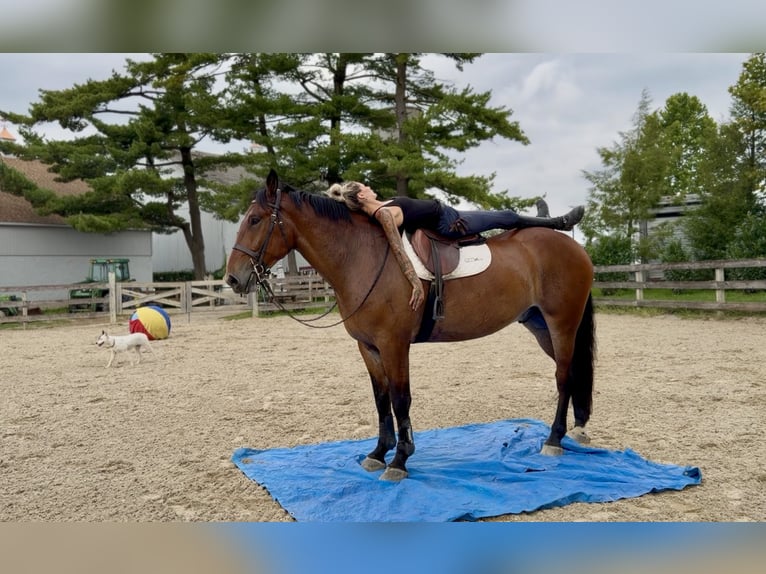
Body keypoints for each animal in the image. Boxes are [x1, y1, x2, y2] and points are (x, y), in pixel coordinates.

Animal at [226, 169, 596, 482]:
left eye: (255, 219)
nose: (233, 278)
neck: (362, 256)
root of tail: (575, 248)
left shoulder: (394, 344)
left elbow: (400, 399)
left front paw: (400, 460)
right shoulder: (369, 347)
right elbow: (381, 399)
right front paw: (378, 453)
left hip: (562, 325)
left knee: (564, 377)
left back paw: (553, 440)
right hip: (540, 326)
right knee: (572, 374)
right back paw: (576, 430)